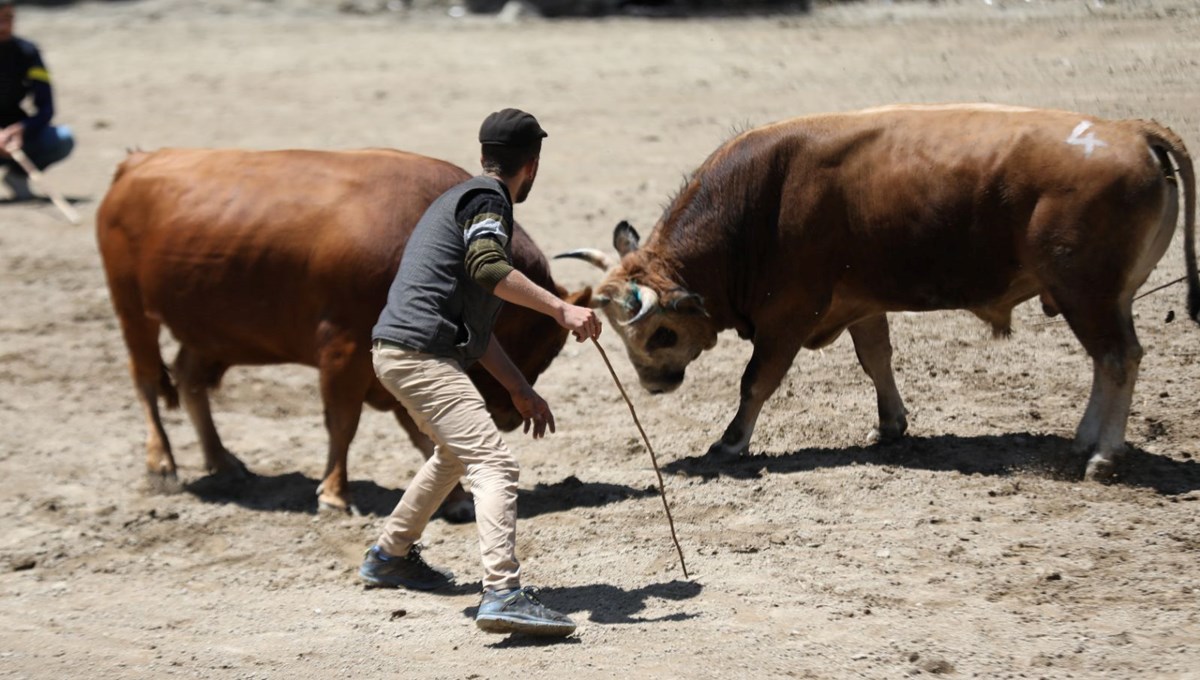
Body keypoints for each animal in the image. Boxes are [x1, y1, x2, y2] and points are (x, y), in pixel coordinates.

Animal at [96, 148, 588, 518]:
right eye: (544, 345)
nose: (509, 416)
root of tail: (137, 163)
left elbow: (422, 432)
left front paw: (453, 500)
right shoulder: (345, 350)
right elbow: (343, 422)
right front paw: (334, 493)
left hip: (208, 331)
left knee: (190, 380)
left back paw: (223, 460)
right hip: (133, 312)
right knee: (146, 379)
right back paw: (161, 463)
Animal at [561, 103, 1200, 482]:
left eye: (661, 332)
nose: (655, 384)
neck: (760, 203)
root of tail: (1132, 131)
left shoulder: (788, 317)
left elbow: (757, 381)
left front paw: (731, 442)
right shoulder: (860, 305)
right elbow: (877, 361)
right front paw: (891, 425)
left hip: (1088, 296)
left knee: (1117, 359)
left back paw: (1102, 454)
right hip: (1102, 300)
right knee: (1108, 361)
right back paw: (1084, 441)